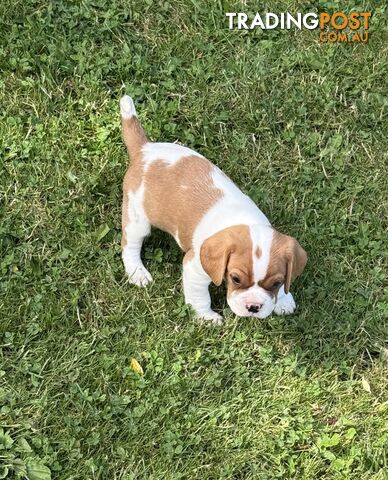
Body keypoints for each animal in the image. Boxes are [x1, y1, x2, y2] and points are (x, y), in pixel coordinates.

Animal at [119, 95, 308, 324]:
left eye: (276, 283)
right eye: (236, 279)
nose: (253, 307)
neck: (245, 221)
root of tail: (144, 148)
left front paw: (284, 300)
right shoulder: (194, 268)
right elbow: (200, 297)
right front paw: (207, 318)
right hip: (137, 219)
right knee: (129, 246)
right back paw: (137, 272)